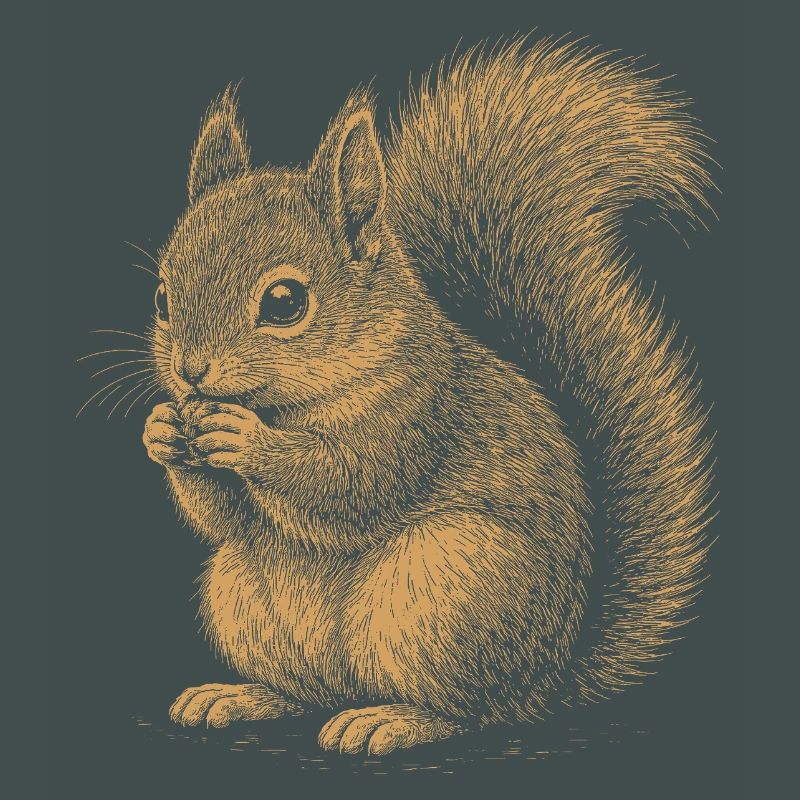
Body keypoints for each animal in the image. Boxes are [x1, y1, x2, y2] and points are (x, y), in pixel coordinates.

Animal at [140, 37, 715, 756]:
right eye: (163, 298)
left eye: (284, 302)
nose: (191, 372)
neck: (289, 403)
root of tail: (545, 683)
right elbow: (225, 520)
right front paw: (162, 430)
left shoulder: (419, 409)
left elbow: (352, 486)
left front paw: (246, 442)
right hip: (242, 595)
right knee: (310, 692)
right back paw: (242, 696)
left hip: (446, 589)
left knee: (470, 711)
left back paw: (392, 719)